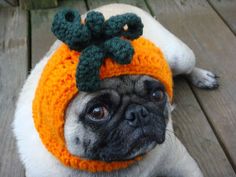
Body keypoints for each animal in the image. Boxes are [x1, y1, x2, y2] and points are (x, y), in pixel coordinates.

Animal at [12, 2, 218, 177]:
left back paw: (203, 77)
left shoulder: (181, 163)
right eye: (97, 112)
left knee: (188, 67)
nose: (138, 112)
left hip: (180, 56)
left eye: (157, 95)